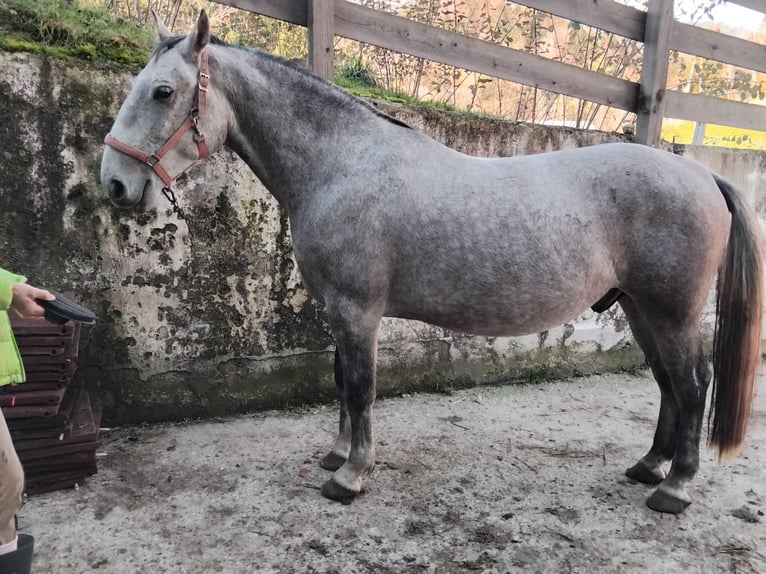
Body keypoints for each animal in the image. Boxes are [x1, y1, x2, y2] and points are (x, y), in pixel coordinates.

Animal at [100, 12, 760, 516]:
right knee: (669, 384)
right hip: (641, 309)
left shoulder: (357, 310)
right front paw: (337, 454)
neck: (341, 164)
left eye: (163, 92)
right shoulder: (339, 312)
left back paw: (675, 488)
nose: (114, 184)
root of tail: (703, 174)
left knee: (692, 385)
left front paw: (350, 476)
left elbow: (361, 388)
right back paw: (650, 467)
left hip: (670, 311)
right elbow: (341, 384)